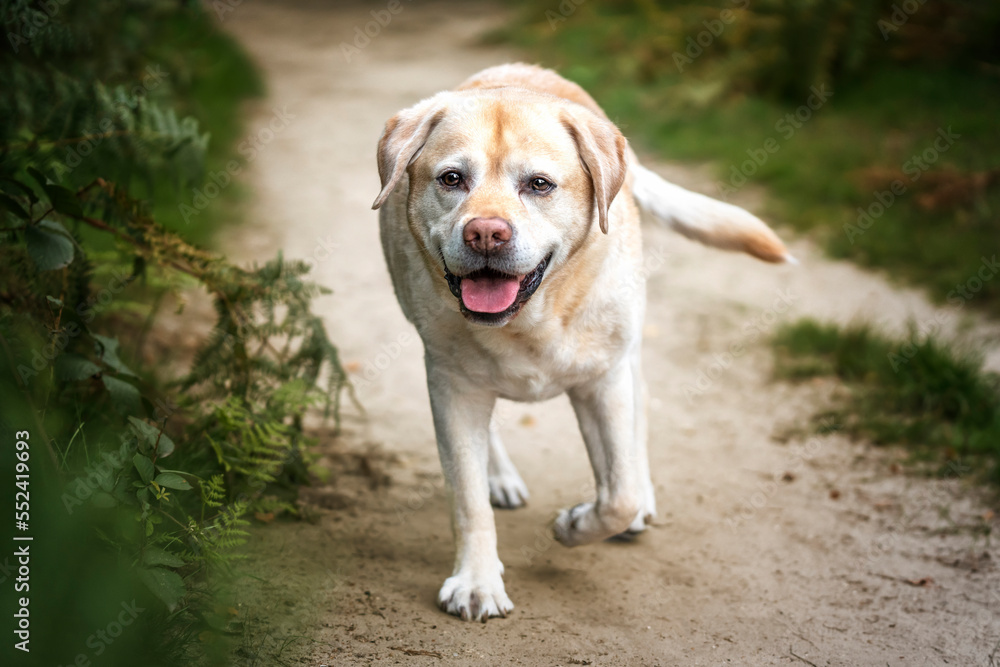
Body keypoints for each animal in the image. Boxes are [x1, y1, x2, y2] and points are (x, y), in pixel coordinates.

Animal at [374, 62, 788, 620]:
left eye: (539, 184)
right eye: (452, 179)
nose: (486, 233)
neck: (531, 320)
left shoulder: (603, 381)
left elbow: (619, 495)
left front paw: (576, 524)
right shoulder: (449, 384)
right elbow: (466, 496)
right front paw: (477, 581)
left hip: (628, 346)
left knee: (639, 418)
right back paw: (499, 476)